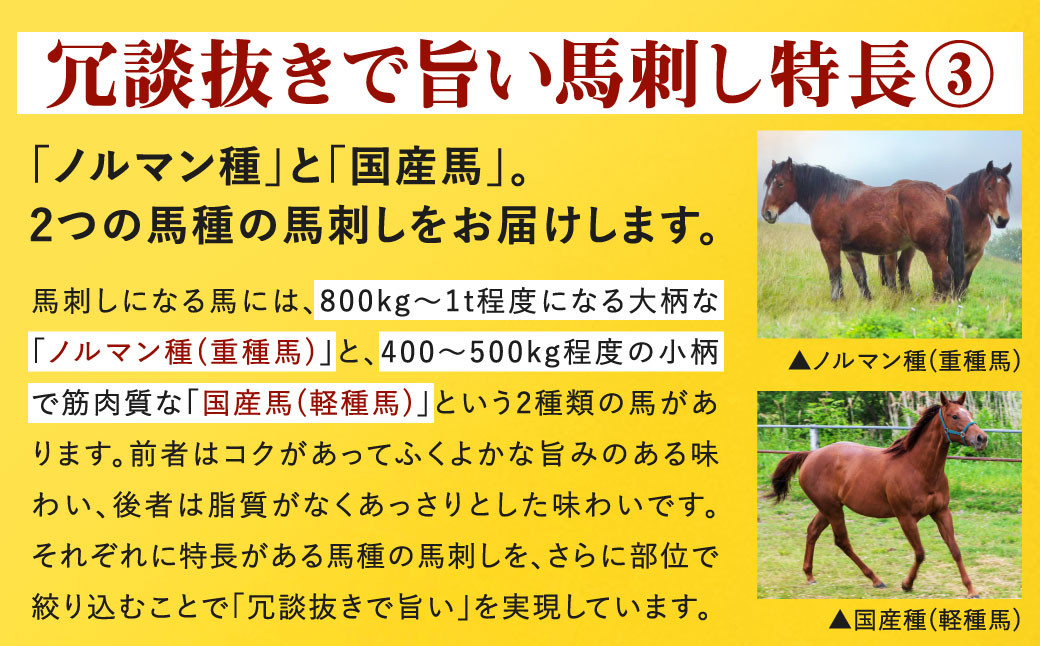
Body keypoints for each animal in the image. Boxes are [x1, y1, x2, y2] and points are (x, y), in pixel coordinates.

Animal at [761, 158, 965, 301]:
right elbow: (860, 276)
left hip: (932, 250)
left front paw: (836, 300)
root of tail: (943, 195)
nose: (767, 213)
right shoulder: (851, 249)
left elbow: (834, 274)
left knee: (944, 276)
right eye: (768, 183)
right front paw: (866, 299)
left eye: (780, 183)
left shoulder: (829, 244)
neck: (829, 196)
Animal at [767, 393, 989, 597]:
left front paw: (971, 590)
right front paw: (907, 584)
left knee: (813, 531)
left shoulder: (941, 512)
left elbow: (955, 550)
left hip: (828, 508)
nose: (982, 438)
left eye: (970, 413)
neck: (919, 468)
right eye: (954, 416)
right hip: (832, 508)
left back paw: (810, 575)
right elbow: (920, 553)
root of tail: (810, 455)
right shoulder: (905, 517)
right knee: (842, 541)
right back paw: (876, 579)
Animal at [878, 161, 1013, 294]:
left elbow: (965, 281)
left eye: (1006, 189)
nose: (1003, 219)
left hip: (910, 245)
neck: (969, 218)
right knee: (891, 264)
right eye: (989, 187)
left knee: (903, 265)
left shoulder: (975, 254)